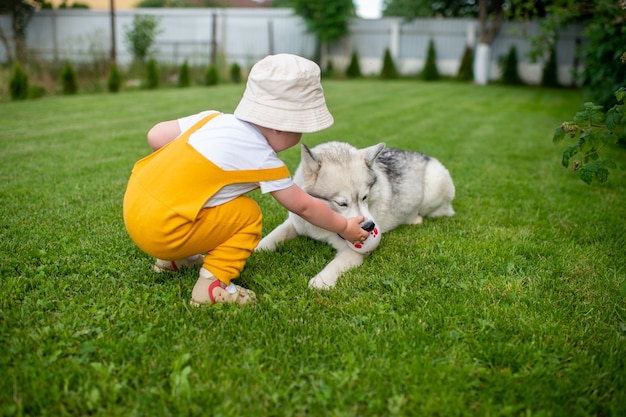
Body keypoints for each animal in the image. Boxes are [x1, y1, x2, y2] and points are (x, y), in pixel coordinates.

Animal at [254, 141, 454, 288]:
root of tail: (426, 155)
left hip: (433, 191)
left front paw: (320, 281)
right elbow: (273, 237)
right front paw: (257, 249)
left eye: (364, 197)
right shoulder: (295, 223)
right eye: (342, 203)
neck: (322, 227)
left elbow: (334, 266)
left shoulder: (355, 251)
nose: (369, 226)